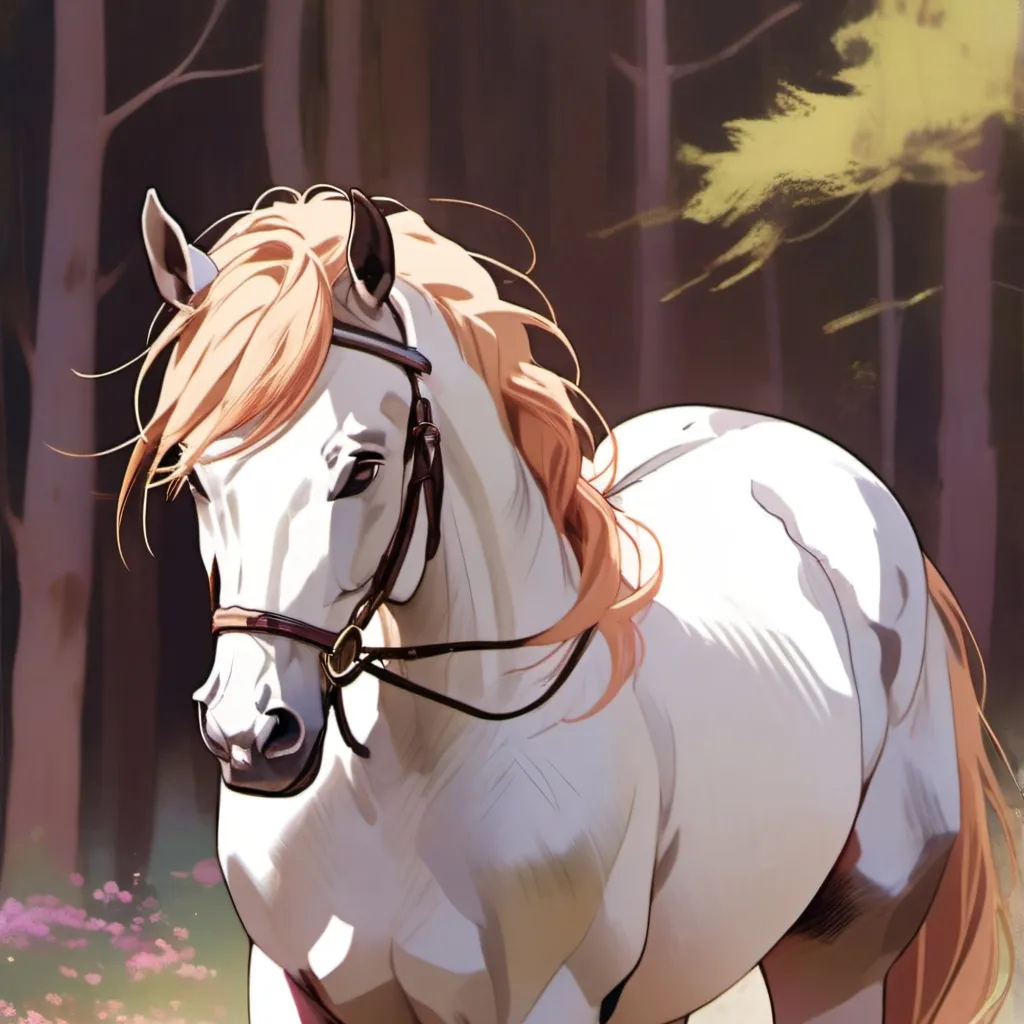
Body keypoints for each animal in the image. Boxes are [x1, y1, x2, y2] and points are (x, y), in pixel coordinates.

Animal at [119, 184, 1016, 1024]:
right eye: (195, 473)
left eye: (362, 466)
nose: (249, 734)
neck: (407, 774)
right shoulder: (288, 987)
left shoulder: (548, 1000)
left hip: (843, 951)